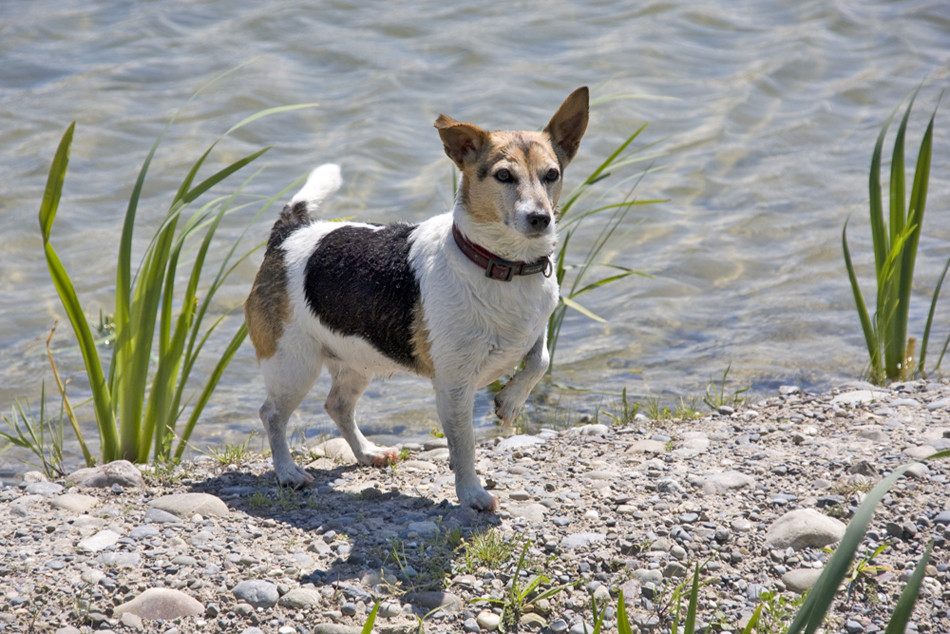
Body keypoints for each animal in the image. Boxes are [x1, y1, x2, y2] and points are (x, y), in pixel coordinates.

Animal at [244, 85, 588, 508]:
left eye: (551, 174)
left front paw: (509, 404)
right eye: (504, 176)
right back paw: (288, 472)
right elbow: (464, 444)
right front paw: (471, 493)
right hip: (293, 365)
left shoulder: (535, 329)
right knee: (272, 414)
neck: (499, 264)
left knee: (337, 405)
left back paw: (367, 452)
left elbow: (540, 360)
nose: (541, 218)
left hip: (356, 360)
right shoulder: (453, 386)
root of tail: (288, 233)